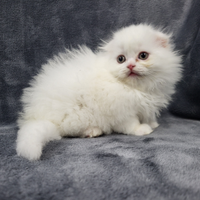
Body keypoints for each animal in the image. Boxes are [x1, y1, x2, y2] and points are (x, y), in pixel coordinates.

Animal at [16, 24, 182, 160]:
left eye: (143, 56)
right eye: (121, 59)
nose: (130, 66)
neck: (134, 88)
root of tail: (38, 115)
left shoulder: (147, 102)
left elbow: (148, 114)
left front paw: (152, 123)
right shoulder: (121, 110)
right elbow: (130, 123)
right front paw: (141, 129)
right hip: (78, 115)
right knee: (67, 131)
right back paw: (93, 131)